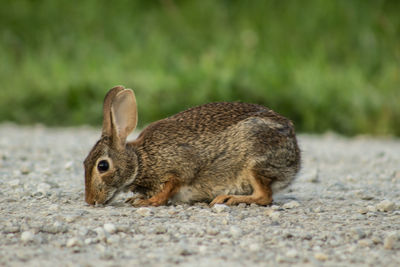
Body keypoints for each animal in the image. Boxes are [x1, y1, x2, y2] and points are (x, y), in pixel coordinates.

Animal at [83, 86, 300, 207]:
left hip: (254, 160)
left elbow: (171, 186)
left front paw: (148, 201)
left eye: (103, 166)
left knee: (265, 196)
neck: (141, 160)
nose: (91, 201)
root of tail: (295, 156)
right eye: (84, 163)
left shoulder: (180, 167)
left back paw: (228, 199)